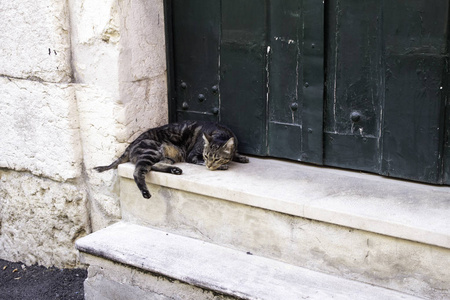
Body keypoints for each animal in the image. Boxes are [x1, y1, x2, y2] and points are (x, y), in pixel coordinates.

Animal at [95, 119, 250, 199]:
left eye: (217, 158)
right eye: (207, 156)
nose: (211, 165)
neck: (220, 133)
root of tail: (131, 144)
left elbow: (235, 154)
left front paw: (241, 157)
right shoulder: (192, 156)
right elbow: (200, 162)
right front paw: (222, 166)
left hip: (167, 157)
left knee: (155, 166)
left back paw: (175, 170)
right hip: (151, 151)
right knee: (138, 171)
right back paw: (145, 192)